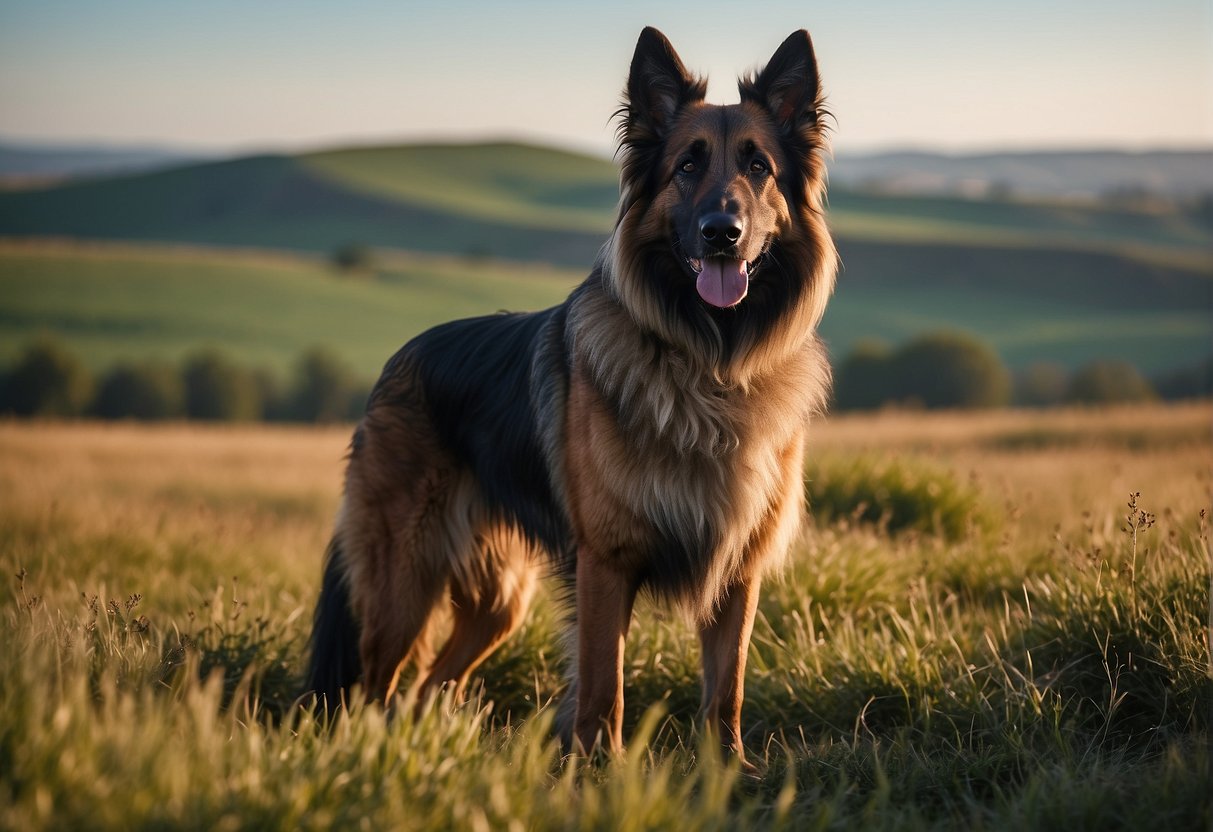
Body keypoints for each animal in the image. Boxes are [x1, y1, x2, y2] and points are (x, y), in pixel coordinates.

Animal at [303, 24, 834, 771]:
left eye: (758, 167)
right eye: (686, 166)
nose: (721, 233)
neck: (707, 361)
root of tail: (399, 361)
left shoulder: (737, 570)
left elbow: (724, 687)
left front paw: (727, 770)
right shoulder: (605, 563)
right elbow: (603, 684)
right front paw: (597, 770)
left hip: (499, 602)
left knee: (429, 684)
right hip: (402, 581)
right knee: (375, 687)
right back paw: (374, 758)